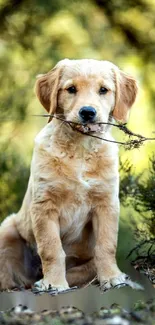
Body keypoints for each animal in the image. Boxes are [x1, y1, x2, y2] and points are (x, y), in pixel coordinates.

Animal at [0, 58, 137, 292]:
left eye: (103, 90)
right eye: (71, 89)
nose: (88, 112)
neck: (81, 148)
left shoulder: (106, 203)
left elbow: (106, 245)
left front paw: (112, 277)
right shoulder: (44, 205)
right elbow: (51, 248)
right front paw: (54, 283)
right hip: (7, 229)